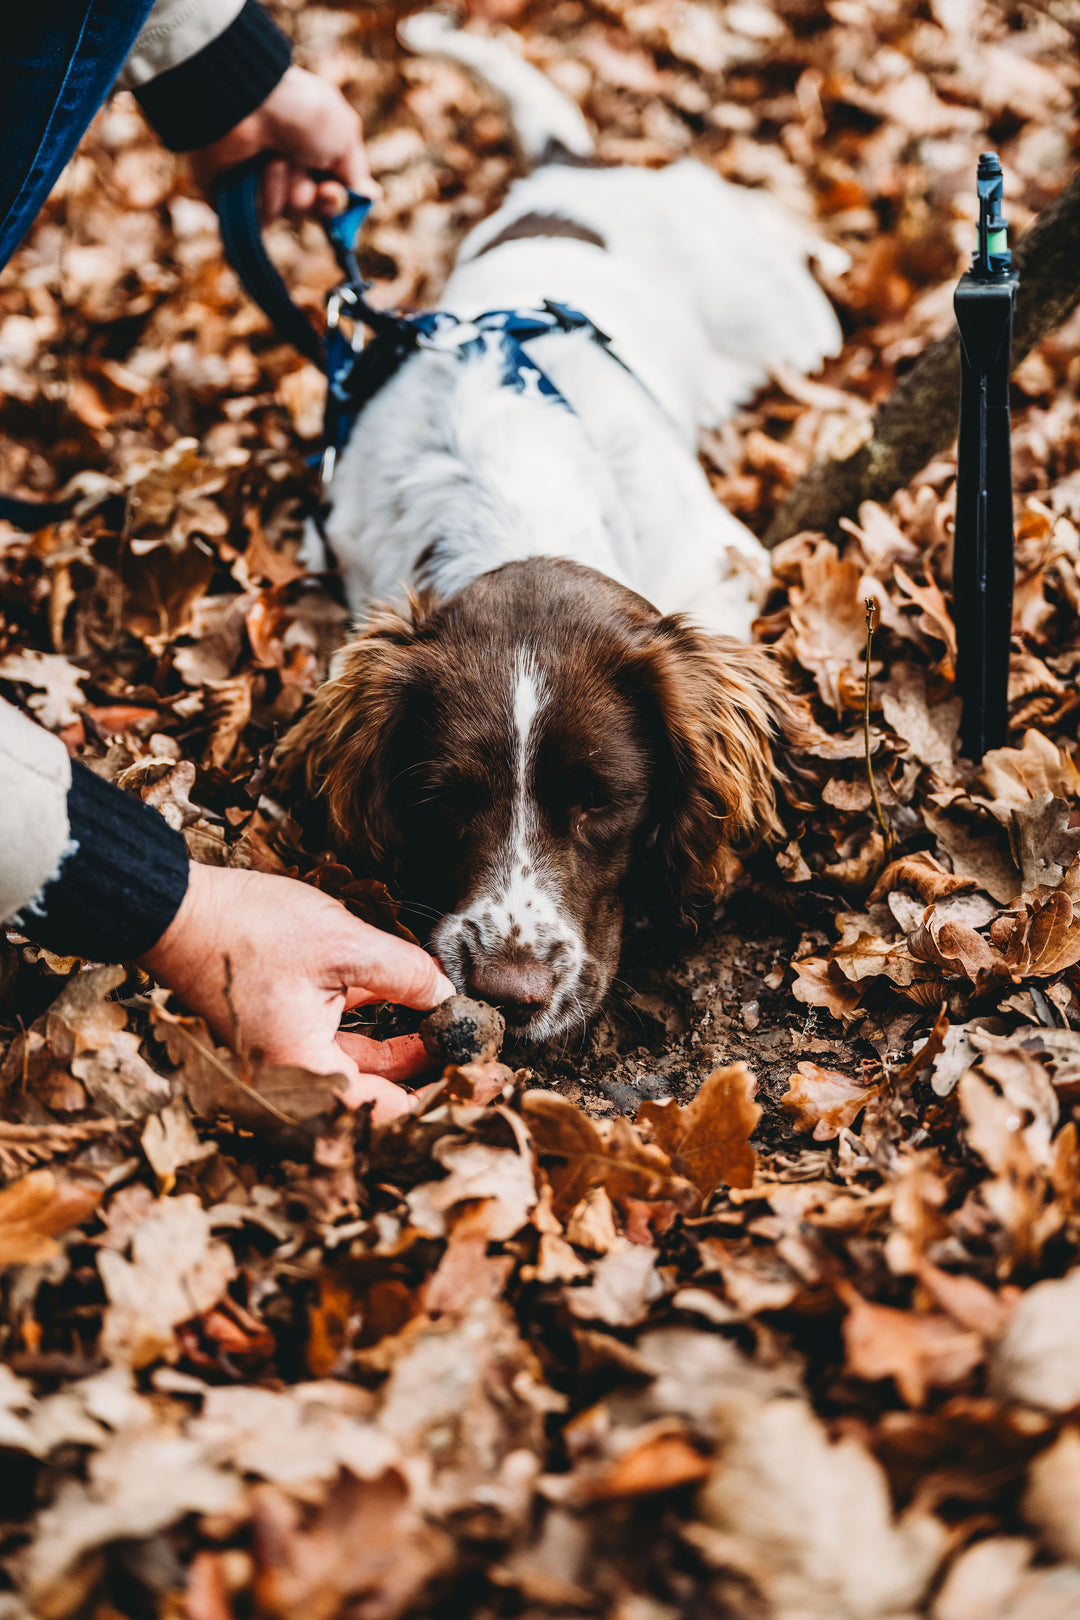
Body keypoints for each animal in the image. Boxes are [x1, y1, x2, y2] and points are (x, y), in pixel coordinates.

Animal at [289, 15, 841, 1036]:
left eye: (604, 800)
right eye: (439, 797)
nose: (511, 994)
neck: (512, 494)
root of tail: (574, 172)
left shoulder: (721, 562)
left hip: (788, 322)